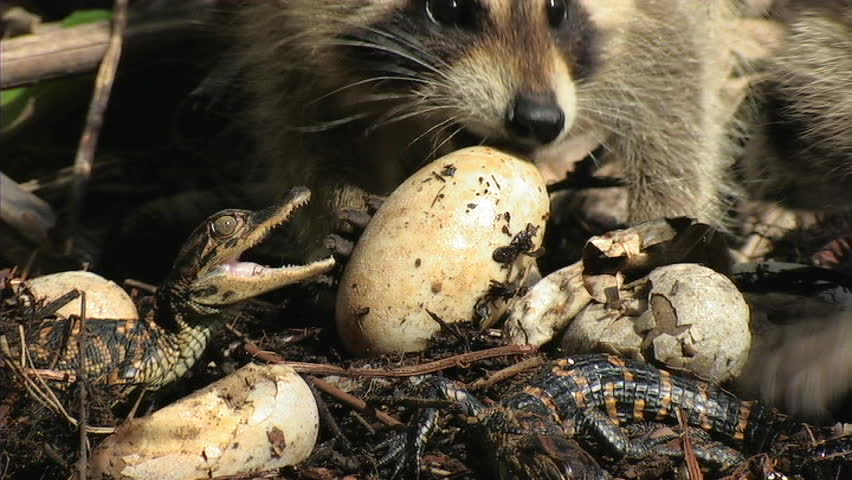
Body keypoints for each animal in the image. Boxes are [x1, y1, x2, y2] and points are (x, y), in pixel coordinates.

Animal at [231, 0, 744, 255]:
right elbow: (307, 123)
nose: (540, 120)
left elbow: (678, 74)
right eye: (448, 6)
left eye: (558, 8)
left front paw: (667, 217)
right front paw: (336, 204)